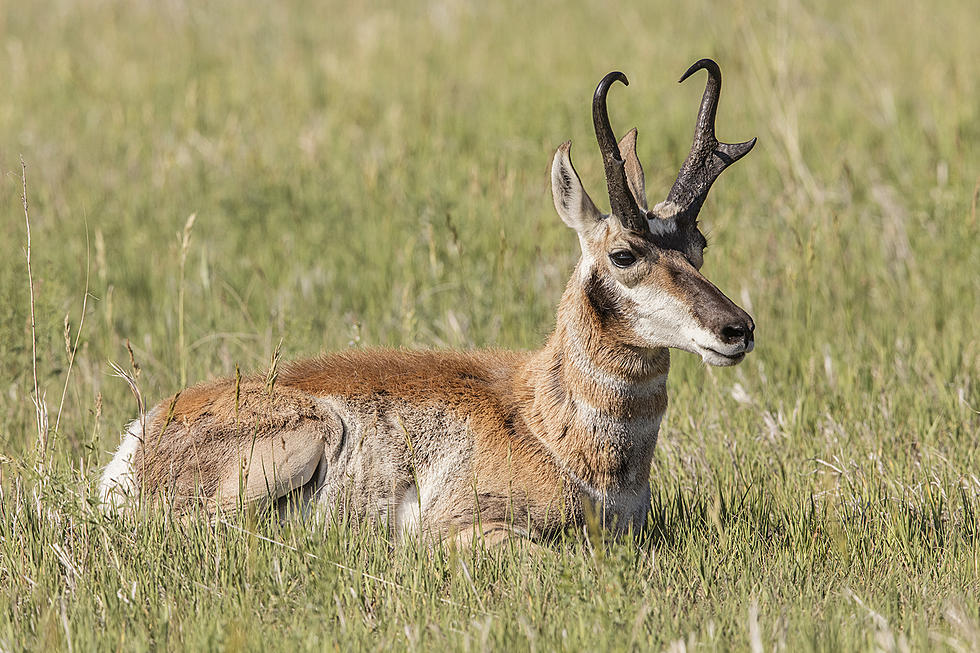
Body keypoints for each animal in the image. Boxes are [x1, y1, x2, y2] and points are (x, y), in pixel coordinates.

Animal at [99, 59, 756, 544]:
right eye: (623, 254)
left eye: (699, 245)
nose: (738, 329)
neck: (543, 417)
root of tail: (144, 432)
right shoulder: (473, 529)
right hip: (307, 434)